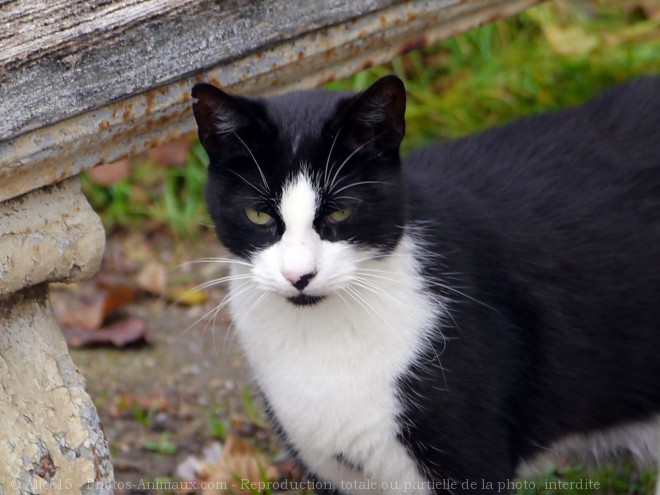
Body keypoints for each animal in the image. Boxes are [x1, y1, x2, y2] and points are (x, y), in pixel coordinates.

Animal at [191, 74, 660, 495]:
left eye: (341, 212)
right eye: (258, 215)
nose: (299, 275)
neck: (320, 340)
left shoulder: (466, 462)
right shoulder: (328, 468)